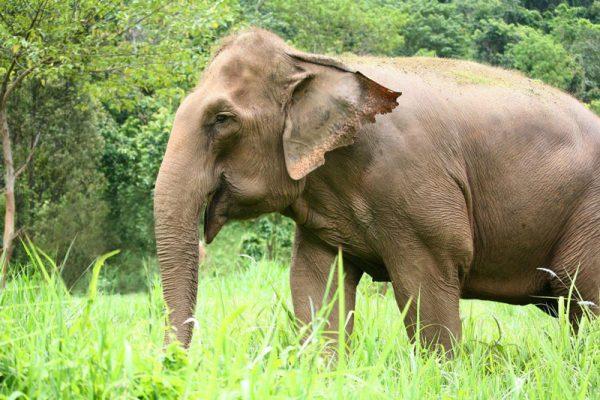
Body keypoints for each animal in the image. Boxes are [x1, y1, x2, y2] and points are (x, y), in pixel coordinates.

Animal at [155, 28, 600, 350]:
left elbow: (424, 290)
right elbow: (314, 283)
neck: (312, 60)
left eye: (221, 119)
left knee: (585, 296)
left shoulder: (417, 189)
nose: (178, 362)